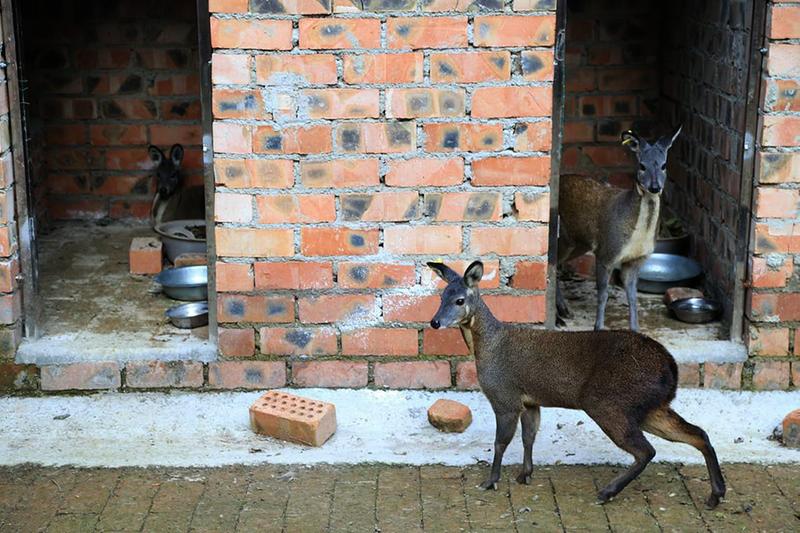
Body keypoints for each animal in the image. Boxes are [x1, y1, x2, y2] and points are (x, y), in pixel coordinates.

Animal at [432, 260, 724, 510]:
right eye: (441, 296)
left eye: (459, 300)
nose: (435, 322)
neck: (487, 347)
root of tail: (671, 370)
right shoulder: (530, 401)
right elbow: (529, 437)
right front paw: (525, 474)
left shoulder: (505, 397)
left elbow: (501, 442)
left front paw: (490, 481)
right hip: (652, 407)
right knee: (698, 434)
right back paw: (716, 495)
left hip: (608, 403)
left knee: (647, 450)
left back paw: (607, 492)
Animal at [556, 127, 680, 330]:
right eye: (642, 166)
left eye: (663, 165)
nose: (655, 187)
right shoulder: (606, 252)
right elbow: (603, 294)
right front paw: (598, 327)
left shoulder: (636, 260)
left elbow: (632, 297)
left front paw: (635, 329)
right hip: (564, 239)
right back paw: (559, 316)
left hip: (578, 244)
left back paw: (564, 311)